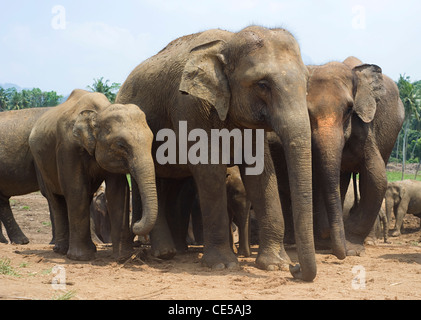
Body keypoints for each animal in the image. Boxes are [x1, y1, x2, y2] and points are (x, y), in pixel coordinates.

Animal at [29, 89, 158, 262]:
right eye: (120, 145)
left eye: (151, 141)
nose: (136, 224)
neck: (99, 112)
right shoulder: (67, 147)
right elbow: (76, 190)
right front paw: (80, 257)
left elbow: (117, 191)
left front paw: (122, 257)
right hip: (40, 165)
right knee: (55, 200)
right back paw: (62, 250)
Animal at [115, 26, 316, 282]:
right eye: (262, 84)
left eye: (307, 82)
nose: (296, 269)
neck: (228, 42)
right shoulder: (189, 106)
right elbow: (209, 172)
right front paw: (222, 265)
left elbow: (260, 173)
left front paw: (275, 265)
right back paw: (164, 253)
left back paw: (176, 250)